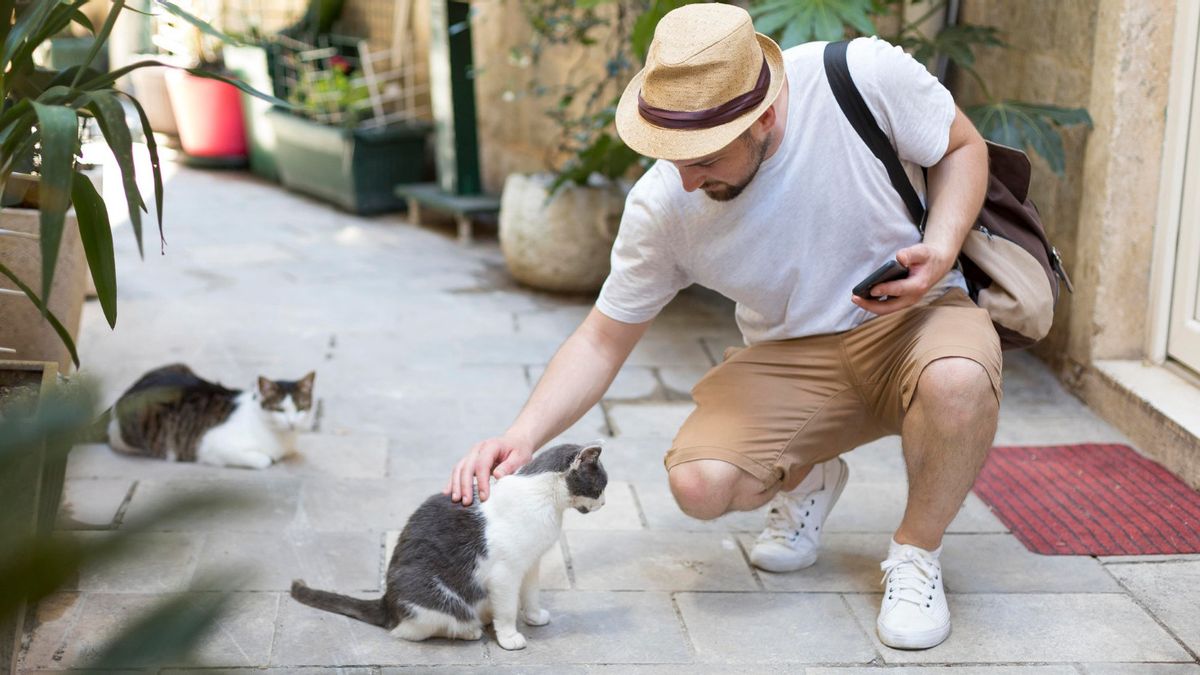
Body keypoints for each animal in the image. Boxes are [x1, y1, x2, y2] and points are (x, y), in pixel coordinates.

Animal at [106, 362, 316, 468]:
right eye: (280, 410)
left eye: (301, 408)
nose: (292, 423)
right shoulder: (210, 444)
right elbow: (264, 460)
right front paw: (269, 458)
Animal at [291, 439, 609, 648]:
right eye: (601, 486)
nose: (605, 503)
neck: (546, 501)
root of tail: (387, 601)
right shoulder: (505, 574)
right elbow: (507, 609)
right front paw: (509, 637)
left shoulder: (531, 564)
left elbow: (531, 594)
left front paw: (534, 616)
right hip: (433, 598)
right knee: (410, 630)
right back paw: (470, 630)